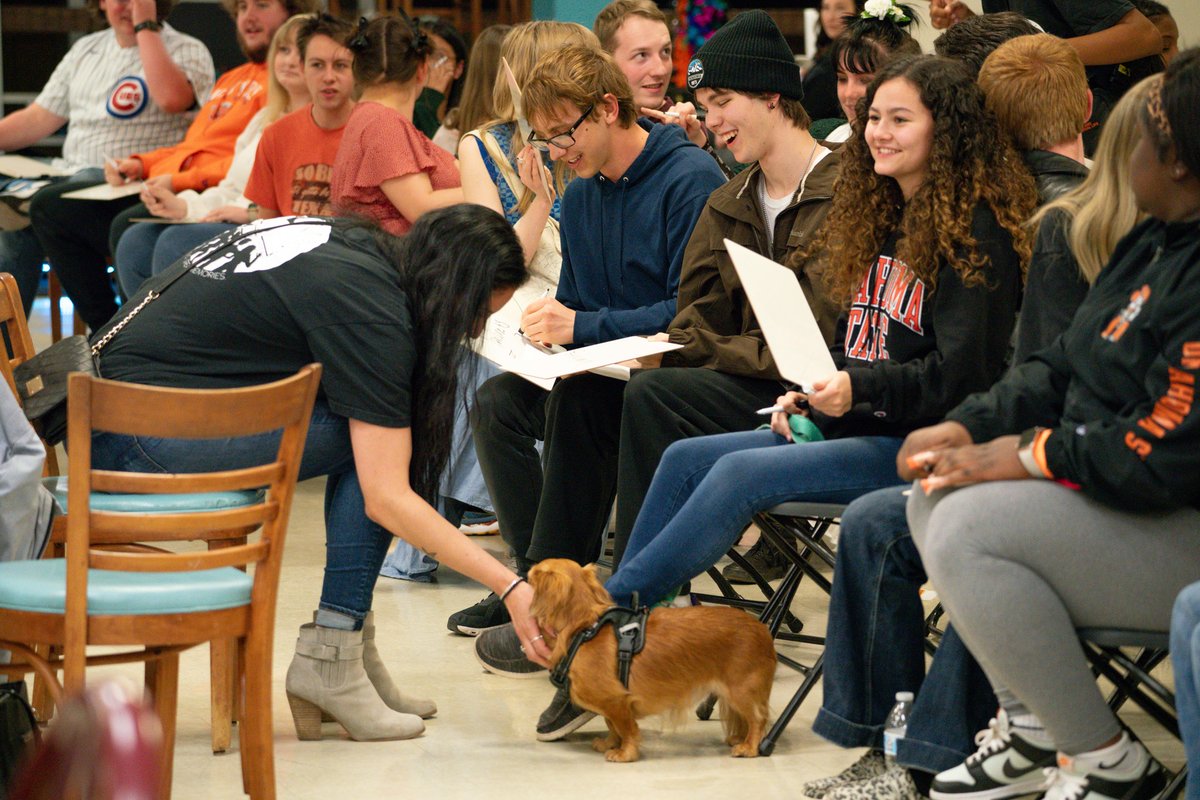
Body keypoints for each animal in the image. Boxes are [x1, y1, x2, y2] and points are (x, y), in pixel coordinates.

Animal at [528, 561, 777, 762]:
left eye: (535, 572)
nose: (527, 570)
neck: (585, 628)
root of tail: (762, 629)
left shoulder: (617, 700)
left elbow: (625, 728)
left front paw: (625, 753)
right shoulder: (613, 703)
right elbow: (611, 725)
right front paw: (609, 743)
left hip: (742, 691)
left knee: (758, 719)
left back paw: (749, 747)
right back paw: (740, 739)